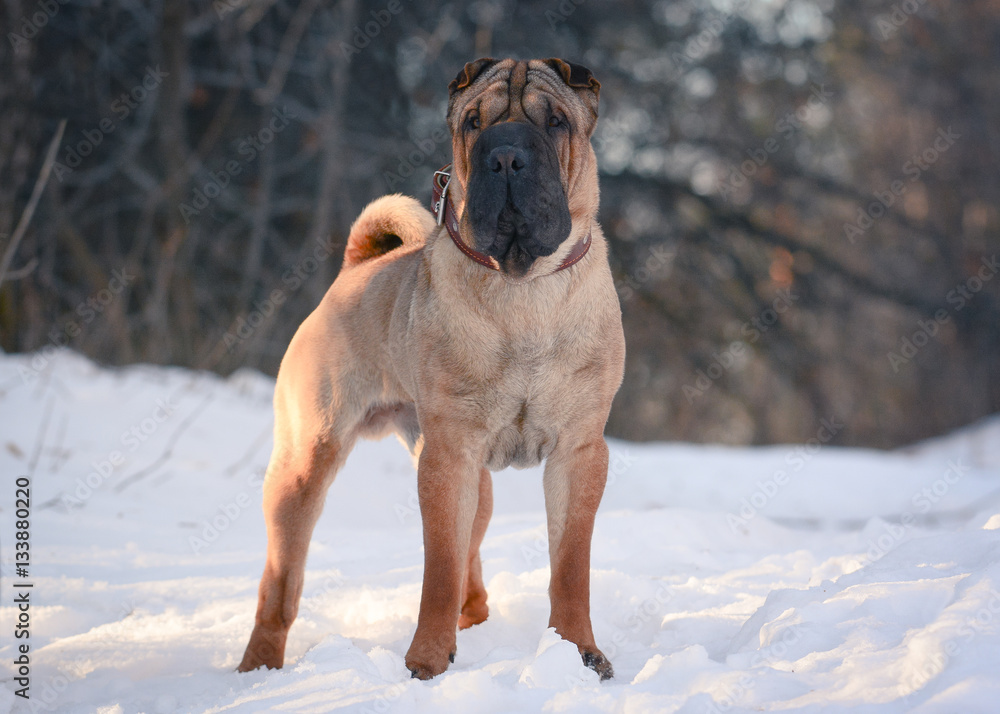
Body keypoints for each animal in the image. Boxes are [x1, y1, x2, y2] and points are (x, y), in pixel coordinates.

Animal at [237, 55, 620, 680]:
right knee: (280, 585)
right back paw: (260, 667)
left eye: (555, 122)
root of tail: (354, 269)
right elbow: (437, 568)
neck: (523, 289)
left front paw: (579, 655)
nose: (505, 155)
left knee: (473, 571)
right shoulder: (449, 455)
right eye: (473, 122)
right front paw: (426, 664)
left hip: (475, 482)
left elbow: (570, 566)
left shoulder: (578, 451)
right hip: (306, 463)